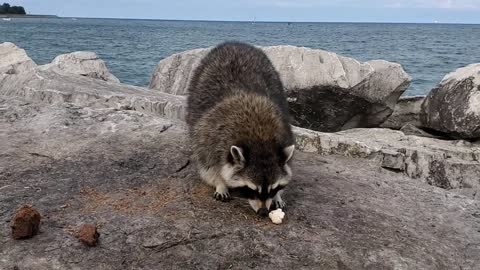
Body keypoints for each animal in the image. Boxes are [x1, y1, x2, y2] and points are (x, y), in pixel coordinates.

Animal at [186, 41, 294, 216]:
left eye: (272, 188)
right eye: (251, 190)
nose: (263, 212)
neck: (260, 138)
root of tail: (235, 43)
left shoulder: (285, 131)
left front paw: (278, 195)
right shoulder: (208, 135)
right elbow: (208, 166)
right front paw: (220, 182)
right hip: (197, 84)